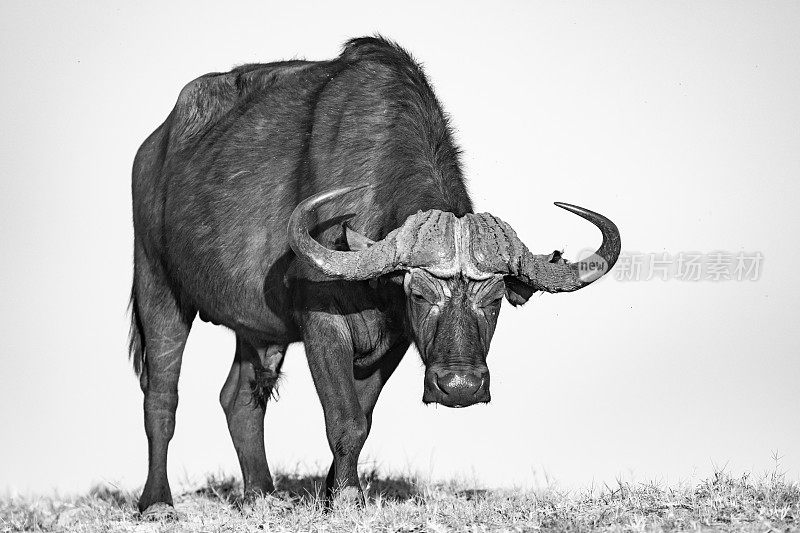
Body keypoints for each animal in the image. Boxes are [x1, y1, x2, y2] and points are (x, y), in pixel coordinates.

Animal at [130, 34, 620, 516]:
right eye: (420, 295)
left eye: (494, 299)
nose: (460, 386)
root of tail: (153, 148)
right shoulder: (321, 326)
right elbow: (344, 417)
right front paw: (347, 497)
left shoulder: (394, 341)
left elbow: (361, 419)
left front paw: (335, 494)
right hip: (157, 285)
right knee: (161, 397)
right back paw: (157, 502)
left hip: (255, 329)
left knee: (239, 401)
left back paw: (262, 496)